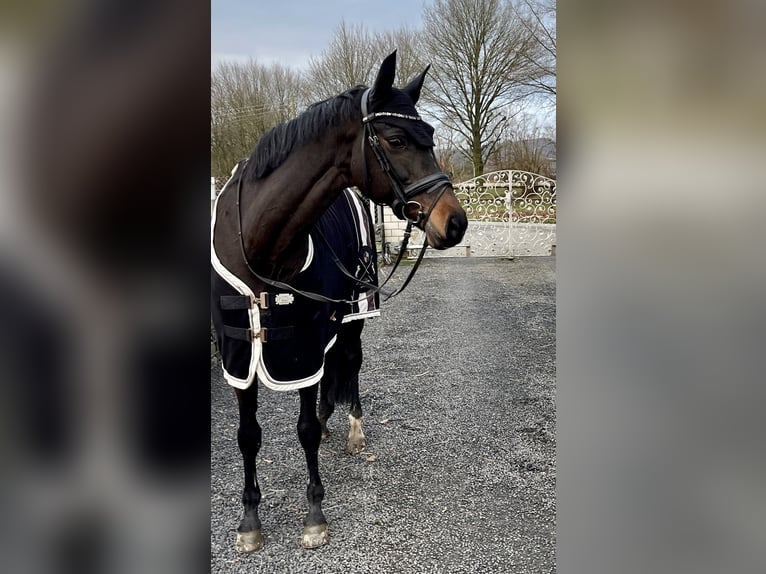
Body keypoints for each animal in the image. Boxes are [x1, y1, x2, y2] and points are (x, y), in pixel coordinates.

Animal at [213, 50, 472, 552]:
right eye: (396, 139)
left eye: (430, 137)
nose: (455, 223)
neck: (258, 241)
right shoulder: (240, 354)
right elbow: (247, 435)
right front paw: (249, 521)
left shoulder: (302, 344)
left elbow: (305, 431)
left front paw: (314, 514)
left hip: (353, 313)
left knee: (349, 361)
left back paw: (352, 429)